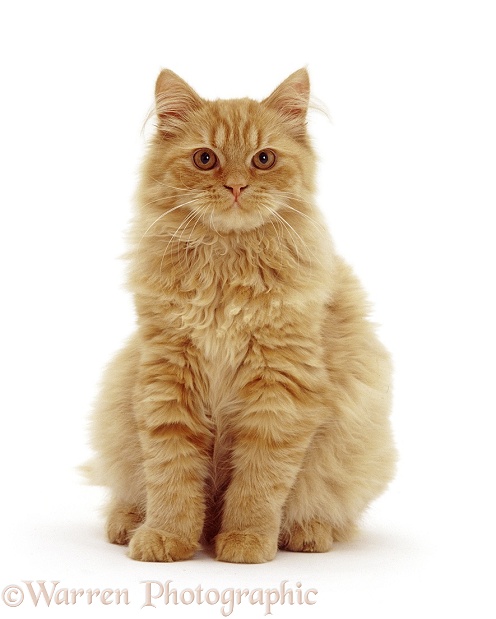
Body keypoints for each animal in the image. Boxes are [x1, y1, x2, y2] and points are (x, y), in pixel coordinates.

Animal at [85, 66, 396, 560]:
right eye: (205, 159)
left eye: (263, 159)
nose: (235, 186)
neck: (226, 264)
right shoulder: (167, 378)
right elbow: (170, 474)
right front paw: (166, 538)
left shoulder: (281, 389)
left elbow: (260, 482)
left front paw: (246, 541)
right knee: (132, 490)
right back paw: (128, 523)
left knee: (328, 512)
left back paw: (306, 534)